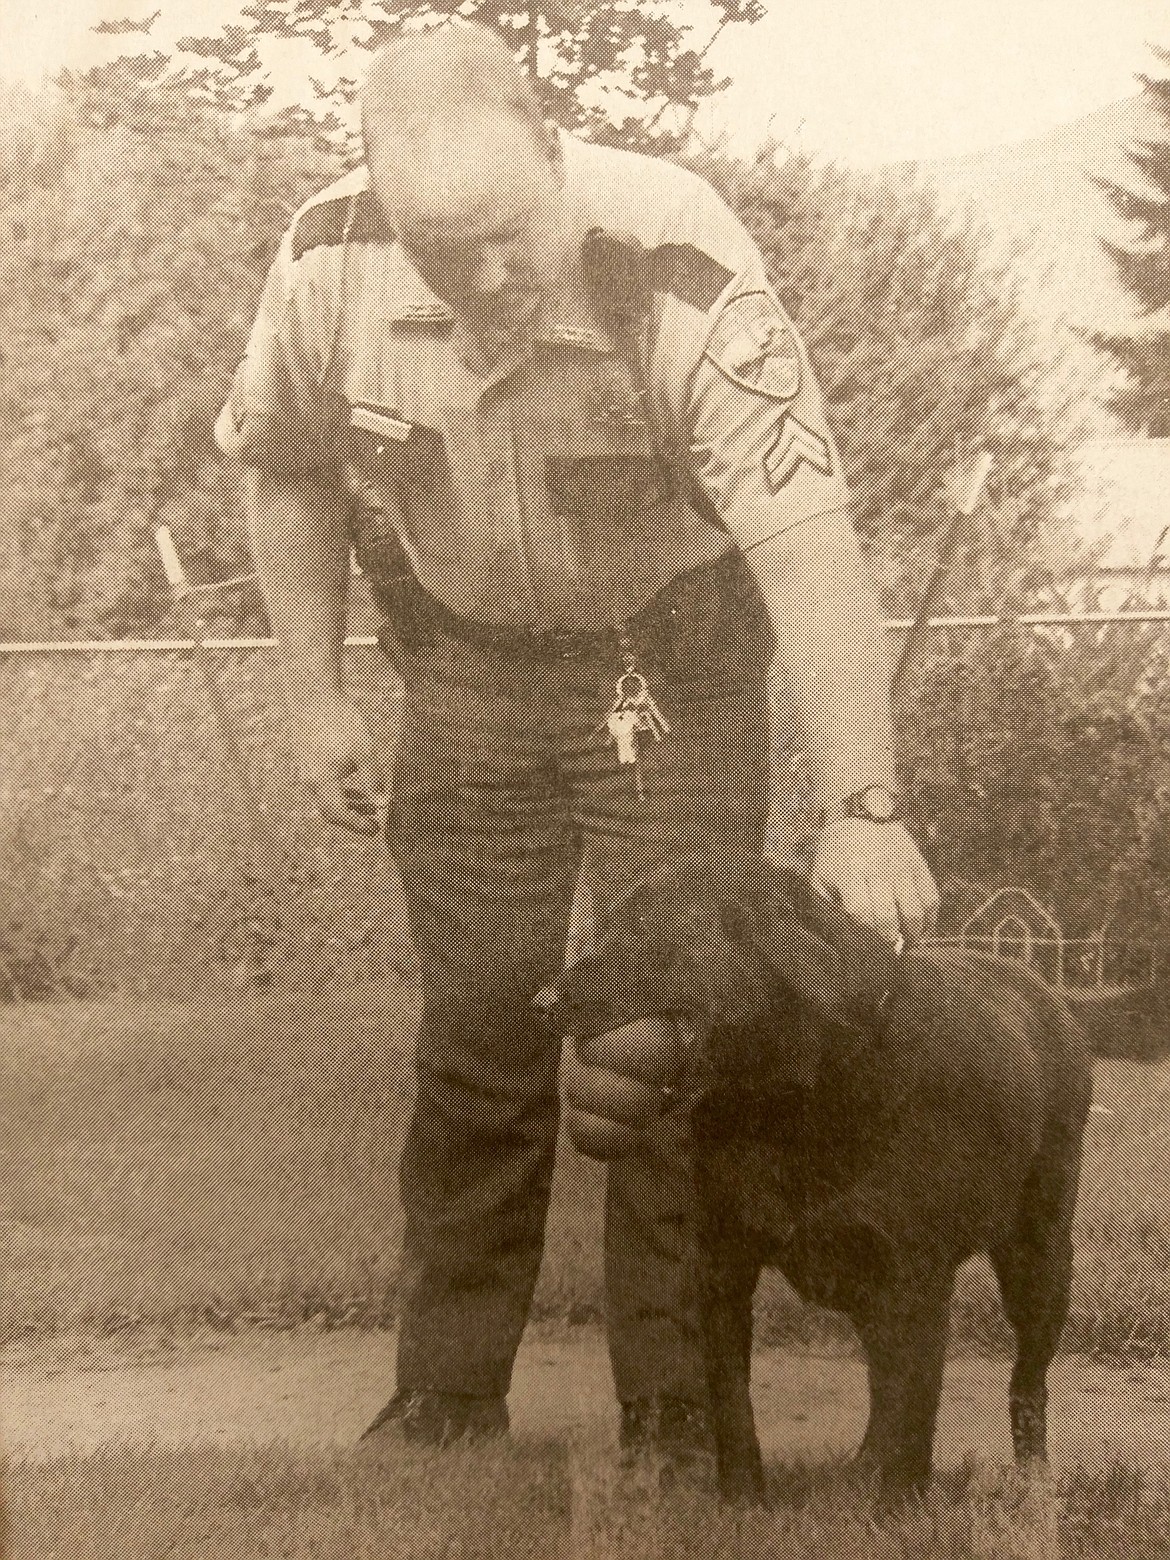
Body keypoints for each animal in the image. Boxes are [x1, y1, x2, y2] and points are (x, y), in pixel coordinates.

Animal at [546, 867, 1098, 1497]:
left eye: (645, 929)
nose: (549, 999)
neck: (783, 1106)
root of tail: (1056, 1005)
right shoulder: (722, 1269)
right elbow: (733, 1405)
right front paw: (743, 1501)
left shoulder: (915, 1280)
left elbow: (912, 1417)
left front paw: (894, 1503)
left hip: (1038, 1261)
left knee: (1026, 1378)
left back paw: (1031, 1484)